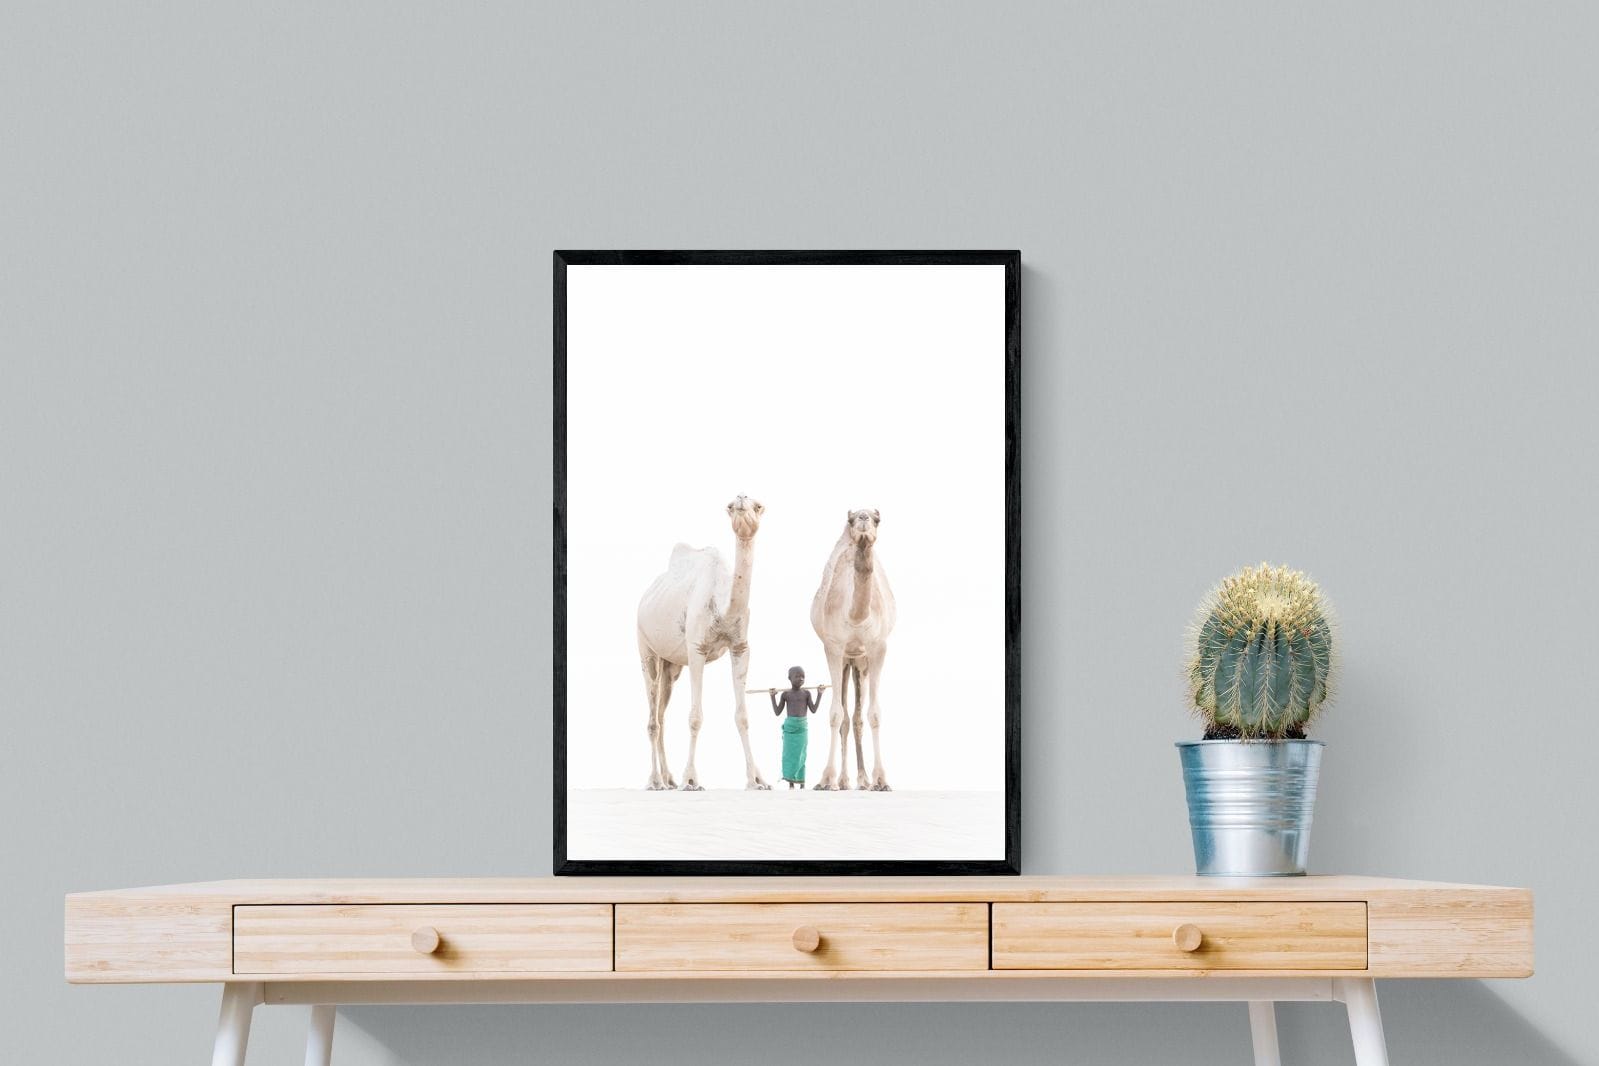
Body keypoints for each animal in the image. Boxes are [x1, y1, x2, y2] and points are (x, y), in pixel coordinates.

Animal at [636, 495, 770, 791]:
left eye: (758, 506)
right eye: (730, 507)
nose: (741, 499)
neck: (723, 607)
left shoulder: (740, 647)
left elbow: (743, 716)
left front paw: (757, 780)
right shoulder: (696, 648)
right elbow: (695, 717)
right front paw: (691, 779)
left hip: (672, 666)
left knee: (661, 714)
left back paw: (668, 778)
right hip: (646, 648)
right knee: (652, 717)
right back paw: (655, 781)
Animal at [810, 508, 897, 791]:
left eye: (877, 519)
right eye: (851, 519)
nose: (863, 518)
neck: (857, 616)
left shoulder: (878, 648)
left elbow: (874, 714)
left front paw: (881, 780)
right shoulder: (833, 647)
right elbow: (836, 715)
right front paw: (827, 779)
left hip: (860, 662)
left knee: (857, 717)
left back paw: (862, 779)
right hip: (847, 660)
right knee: (847, 718)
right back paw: (845, 780)